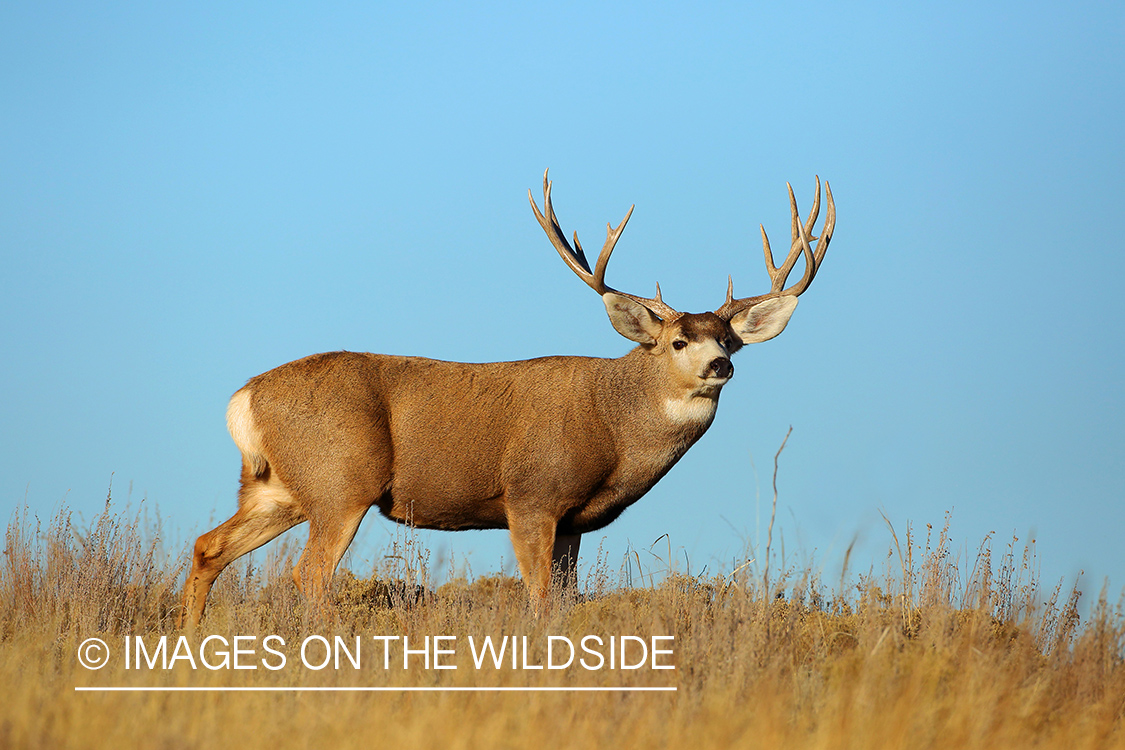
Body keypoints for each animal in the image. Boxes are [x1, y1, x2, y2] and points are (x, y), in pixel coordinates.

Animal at [178, 170, 835, 627]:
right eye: (678, 341)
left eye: (729, 338)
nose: (721, 365)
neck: (613, 428)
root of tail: (243, 398)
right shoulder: (532, 495)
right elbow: (540, 603)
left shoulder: (574, 520)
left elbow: (565, 603)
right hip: (342, 480)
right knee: (307, 574)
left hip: (280, 488)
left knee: (209, 547)